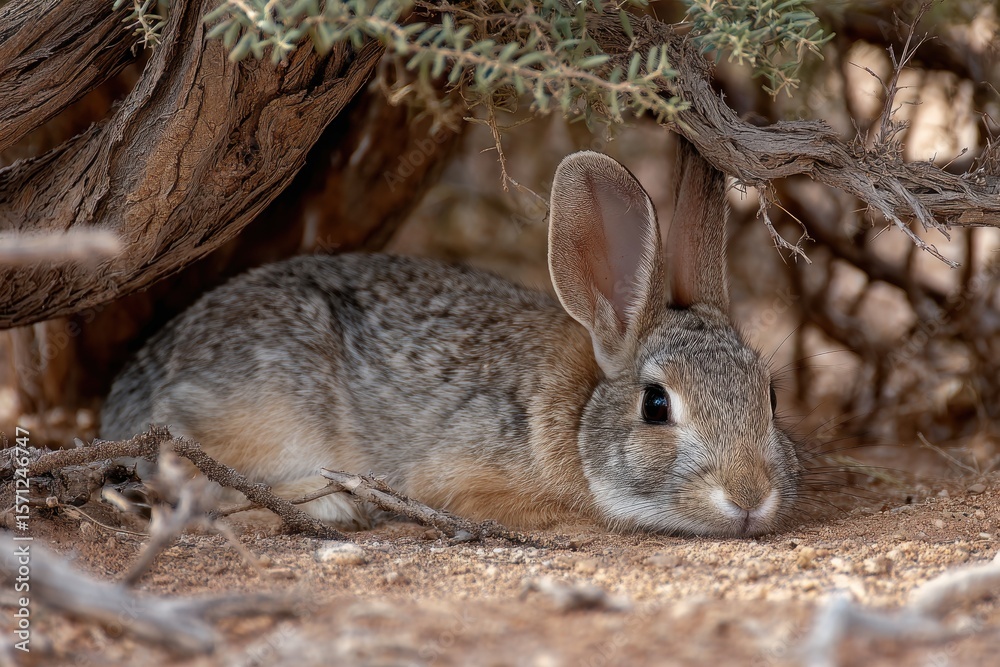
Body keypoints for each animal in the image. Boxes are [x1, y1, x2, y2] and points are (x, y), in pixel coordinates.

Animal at [101, 137, 801, 536]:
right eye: (656, 405)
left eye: (770, 398)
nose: (749, 498)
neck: (579, 417)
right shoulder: (462, 479)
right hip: (261, 413)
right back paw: (334, 508)